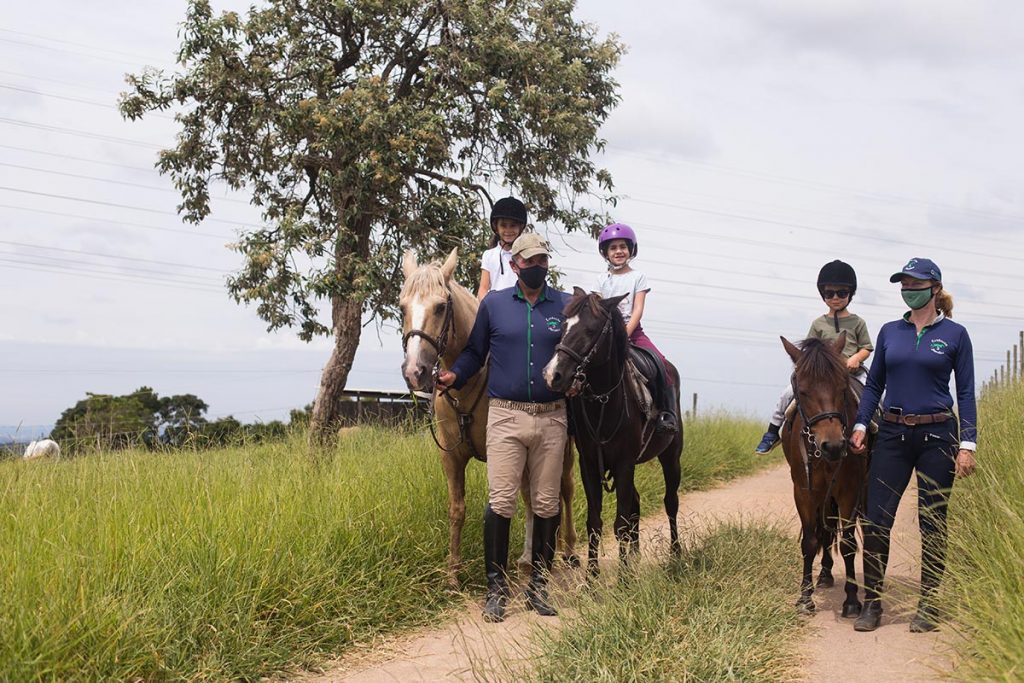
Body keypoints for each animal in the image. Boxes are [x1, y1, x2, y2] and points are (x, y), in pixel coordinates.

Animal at [397, 248, 577, 585]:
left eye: (441, 307)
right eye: (402, 307)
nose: (415, 372)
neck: (466, 383)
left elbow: (522, 500)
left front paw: (524, 559)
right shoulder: (451, 457)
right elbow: (457, 509)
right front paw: (452, 574)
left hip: (566, 446)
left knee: (565, 489)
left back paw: (568, 549)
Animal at [540, 286, 684, 573]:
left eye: (591, 330)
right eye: (563, 325)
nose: (553, 375)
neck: (604, 402)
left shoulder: (625, 463)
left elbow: (620, 523)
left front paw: (623, 578)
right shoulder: (590, 464)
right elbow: (596, 522)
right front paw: (592, 577)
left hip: (671, 457)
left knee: (670, 502)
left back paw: (674, 554)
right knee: (636, 505)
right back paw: (635, 557)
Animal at [778, 333, 868, 618]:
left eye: (842, 388)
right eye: (803, 391)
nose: (834, 446)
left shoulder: (850, 490)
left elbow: (849, 544)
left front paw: (852, 600)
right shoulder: (804, 491)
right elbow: (809, 541)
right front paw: (805, 598)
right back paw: (825, 574)